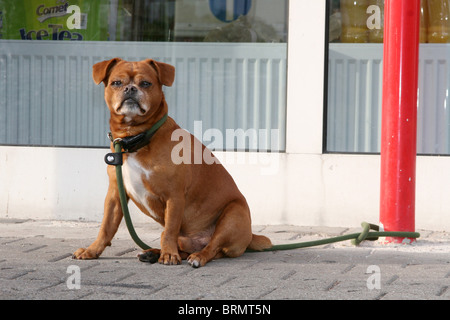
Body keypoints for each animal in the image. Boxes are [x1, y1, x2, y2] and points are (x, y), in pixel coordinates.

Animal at [73, 58, 270, 268]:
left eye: (146, 83)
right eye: (116, 83)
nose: (130, 88)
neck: (137, 140)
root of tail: (250, 236)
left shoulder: (174, 197)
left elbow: (170, 230)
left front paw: (168, 255)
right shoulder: (115, 196)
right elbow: (106, 227)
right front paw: (92, 250)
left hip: (232, 216)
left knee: (214, 248)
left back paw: (196, 257)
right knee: (182, 247)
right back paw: (152, 253)